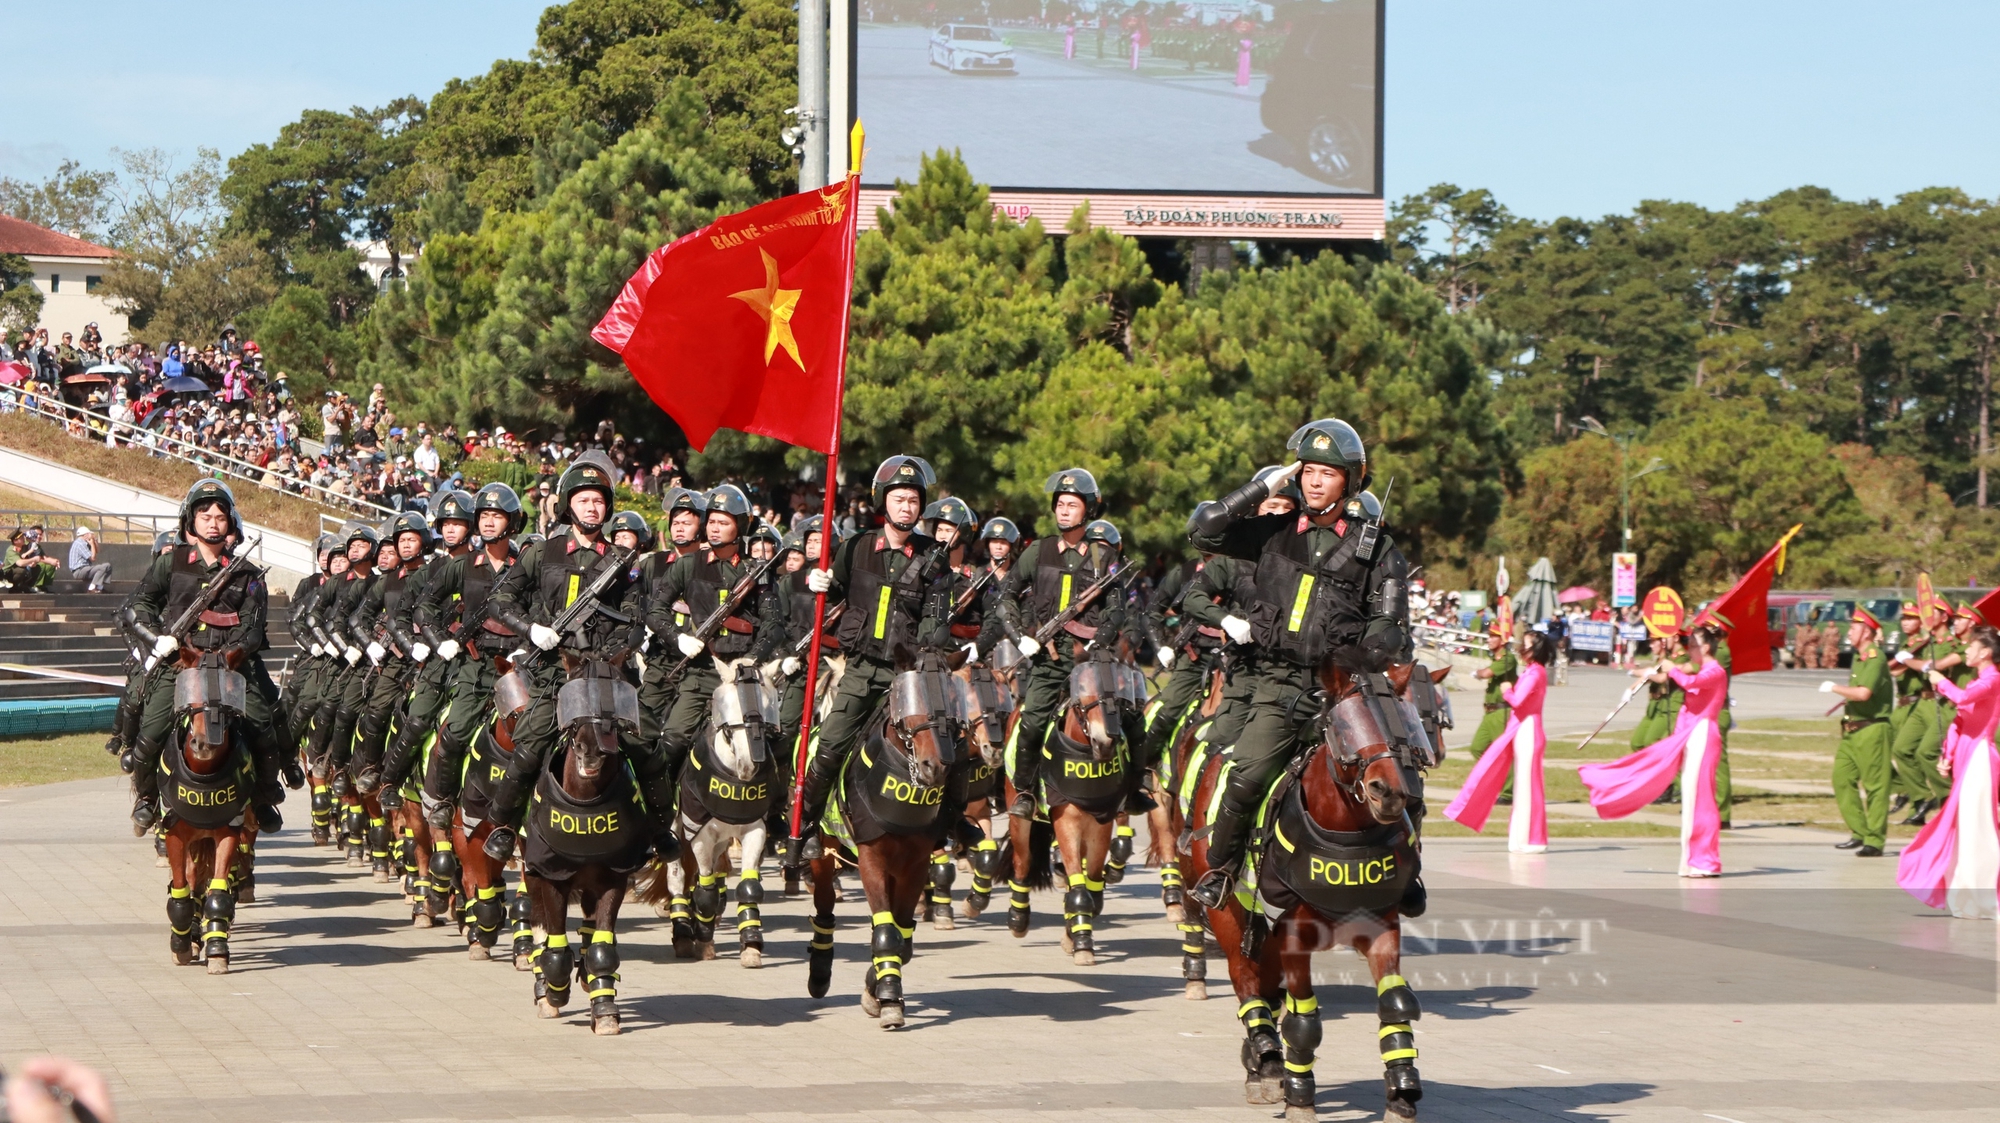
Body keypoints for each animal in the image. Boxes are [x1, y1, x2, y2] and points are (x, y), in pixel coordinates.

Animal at [160, 647, 260, 971]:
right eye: (189, 694)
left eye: (231, 696)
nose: (204, 743)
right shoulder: (175, 835)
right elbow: (183, 888)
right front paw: (181, 943)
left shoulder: (228, 832)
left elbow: (217, 891)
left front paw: (217, 949)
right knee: (191, 880)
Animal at [812, 663, 968, 1023]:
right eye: (906, 703)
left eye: (953, 700)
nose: (934, 766)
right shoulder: (871, 860)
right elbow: (887, 933)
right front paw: (888, 999)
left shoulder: (915, 865)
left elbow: (901, 939)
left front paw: (878, 989)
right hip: (824, 854)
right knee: (825, 904)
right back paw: (819, 972)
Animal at [1184, 659, 1424, 1111]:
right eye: (1344, 726)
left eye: (1405, 726)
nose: (1389, 792)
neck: (1346, 833)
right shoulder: (1294, 934)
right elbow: (1304, 1020)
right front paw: (1300, 1097)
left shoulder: (1382, 927)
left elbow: (1394, 1002)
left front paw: (1402, 1090)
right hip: (1228, 909)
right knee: (1246, 979)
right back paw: (1267, 1059)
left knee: (1265, 984)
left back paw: (1261, 1058)